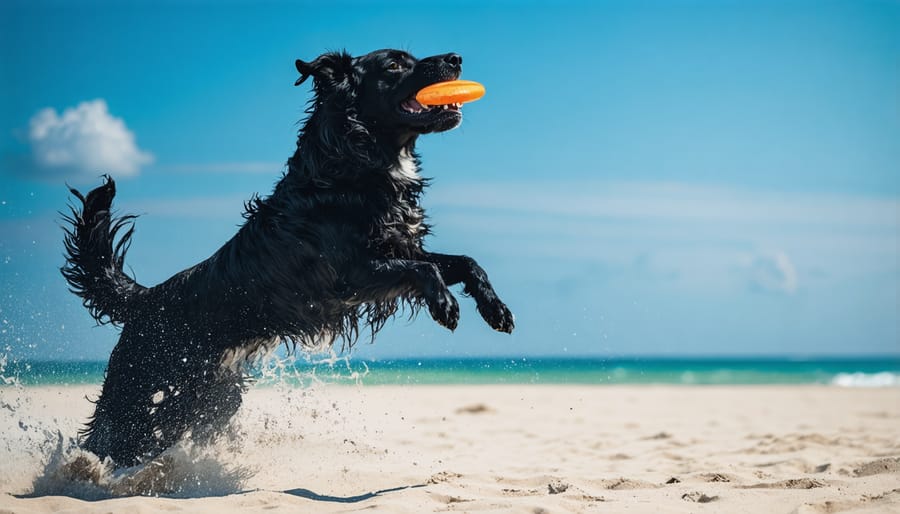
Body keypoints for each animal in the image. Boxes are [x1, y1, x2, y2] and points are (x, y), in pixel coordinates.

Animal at [61, 51, 512, 464]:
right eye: (395, 65)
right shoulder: (349, 277)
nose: (456, 58)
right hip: (144, 392)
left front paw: (495, 309)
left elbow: (464, 261)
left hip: (204, 398)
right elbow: (425, 269)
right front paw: (445, 305)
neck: (353, 166)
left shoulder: (399, 249)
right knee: (108, 442)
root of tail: (147, 298)